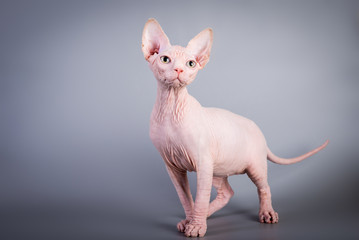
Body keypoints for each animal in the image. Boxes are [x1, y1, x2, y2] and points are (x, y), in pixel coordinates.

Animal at [141, 17, 330, 237]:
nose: (179, 70)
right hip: (217, 168)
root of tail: (260, 132)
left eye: (191, 63)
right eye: (165, 59)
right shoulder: (173, 166)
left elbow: (200, 197)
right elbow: (186, 198)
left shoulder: (202, 161)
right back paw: (203, 215)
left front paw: (196, 226)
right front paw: (190, 220)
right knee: (227, 192)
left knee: (264, 187)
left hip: (253, 165)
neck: (171, 107)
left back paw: (266, 213)